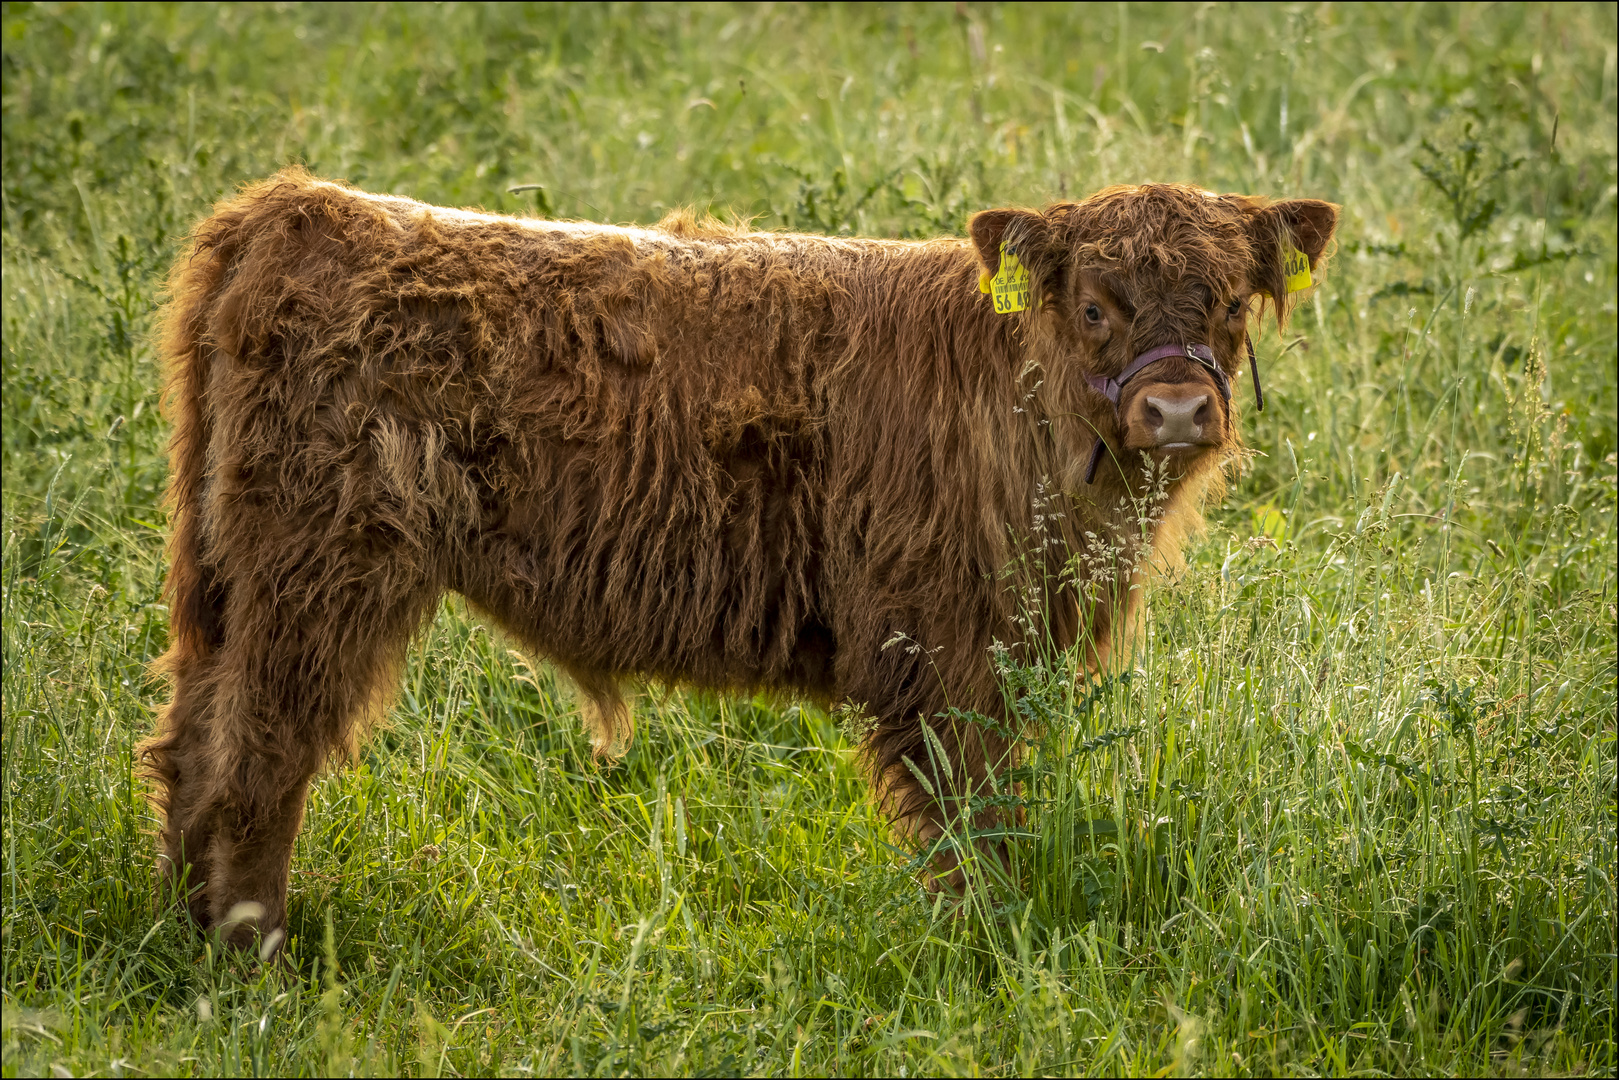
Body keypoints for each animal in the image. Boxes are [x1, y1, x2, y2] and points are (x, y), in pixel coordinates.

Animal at [142, 166, 1327, 945]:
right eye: (1092, 305)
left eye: (1230, 303)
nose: (1175, 410)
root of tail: (298, 206)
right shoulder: (944, 646)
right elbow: (973, 809)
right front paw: (990, 946)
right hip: (318, 574)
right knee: (259, 760)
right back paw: (255, 962)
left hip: (228, 584)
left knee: (192, 744)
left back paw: (190, 938)